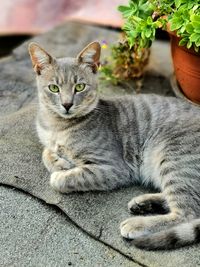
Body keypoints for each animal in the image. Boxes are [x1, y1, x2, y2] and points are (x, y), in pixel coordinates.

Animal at [28, 41, 200, 251]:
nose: (67, 104)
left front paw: (61, 171)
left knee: (187, 212)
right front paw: (59, 161)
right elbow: (46, 151)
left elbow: (67, 178)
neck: (58, 126)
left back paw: (137, 223)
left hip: (174, 158)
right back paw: (144, 204)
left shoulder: (113, 167)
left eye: (79, 87)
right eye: (53, 88)